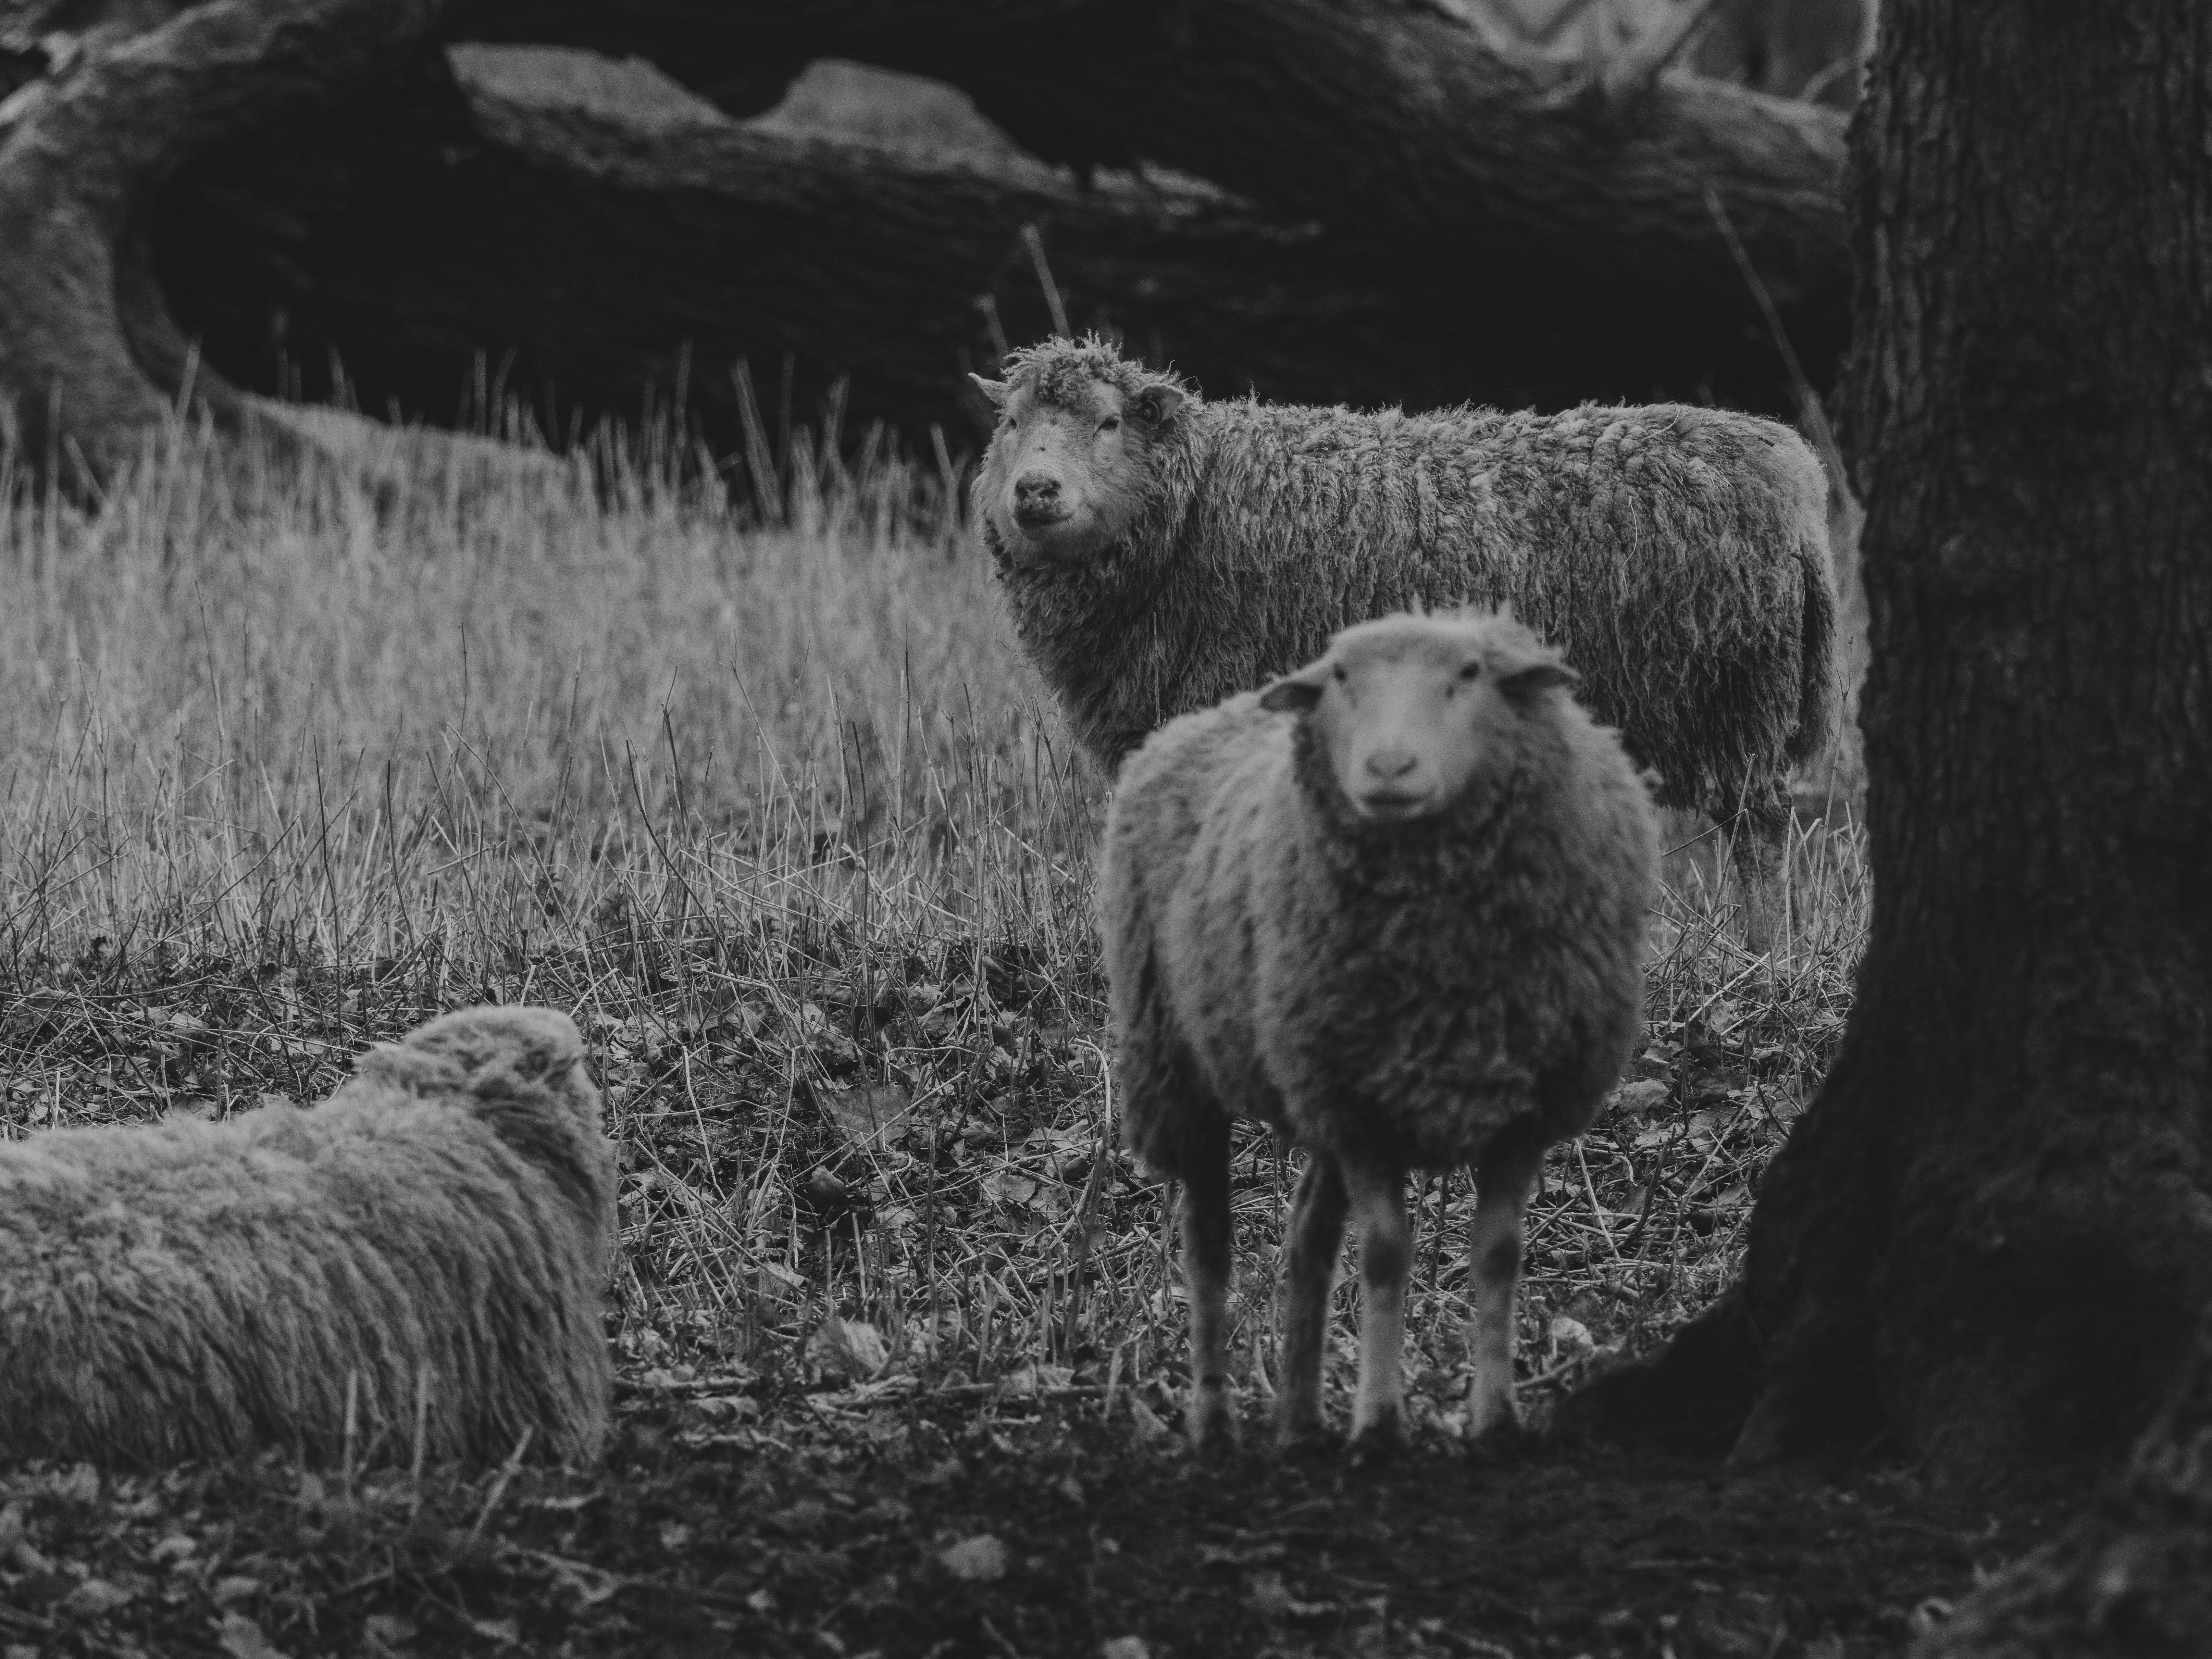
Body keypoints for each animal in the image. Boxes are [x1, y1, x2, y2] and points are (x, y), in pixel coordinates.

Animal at [973, 335, 1833, 951]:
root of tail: (1799, 480)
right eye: (1011, 423)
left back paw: (1764, 954)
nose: (1035, 491)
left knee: (1757, 830)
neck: (1197, 504)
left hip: (1740, 697)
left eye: (1109, 422)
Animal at [1099, 609, 1658, 1455]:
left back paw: (1300, 1418)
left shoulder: (1520, 1107)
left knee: (1306, 1233)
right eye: (1339, 677)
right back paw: (1215, 1418)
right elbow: (1386, 1254)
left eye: (1468, 674)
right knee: (1208, 1244)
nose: (1389, 766)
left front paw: (1495, 1417)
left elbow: (1499, 1255)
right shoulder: (1356, 1105)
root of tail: (1192, 719)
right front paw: (1379, 1422)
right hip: (1177, 1059)